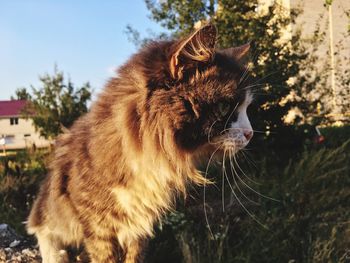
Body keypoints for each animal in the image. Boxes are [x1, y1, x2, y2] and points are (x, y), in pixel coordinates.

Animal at [26, 23, 252, 263]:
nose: (250, 133)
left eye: (246, 107)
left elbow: (134, 256)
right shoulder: (98, 227)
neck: (147, 157)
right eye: (224, 108)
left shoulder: (139, 226)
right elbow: (104, 257)